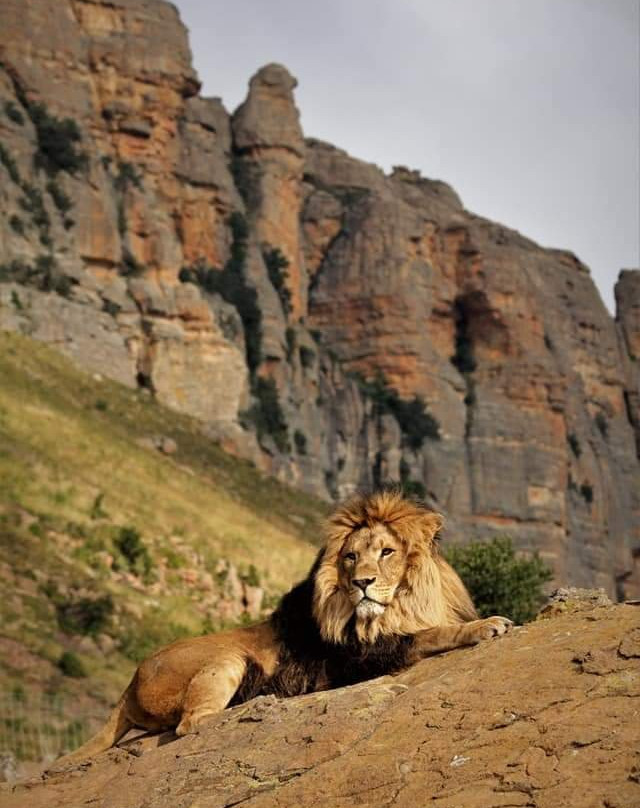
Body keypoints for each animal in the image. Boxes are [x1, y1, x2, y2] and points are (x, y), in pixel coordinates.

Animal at [55, 490, 512, 766]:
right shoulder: (361, 658)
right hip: (228, 658)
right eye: (350, 557)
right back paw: (254, 707)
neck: (399, 605)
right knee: (191, 723)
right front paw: (488, 624)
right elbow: (432, 634)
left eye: (386, 552)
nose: (362, 582)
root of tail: (129, 685)